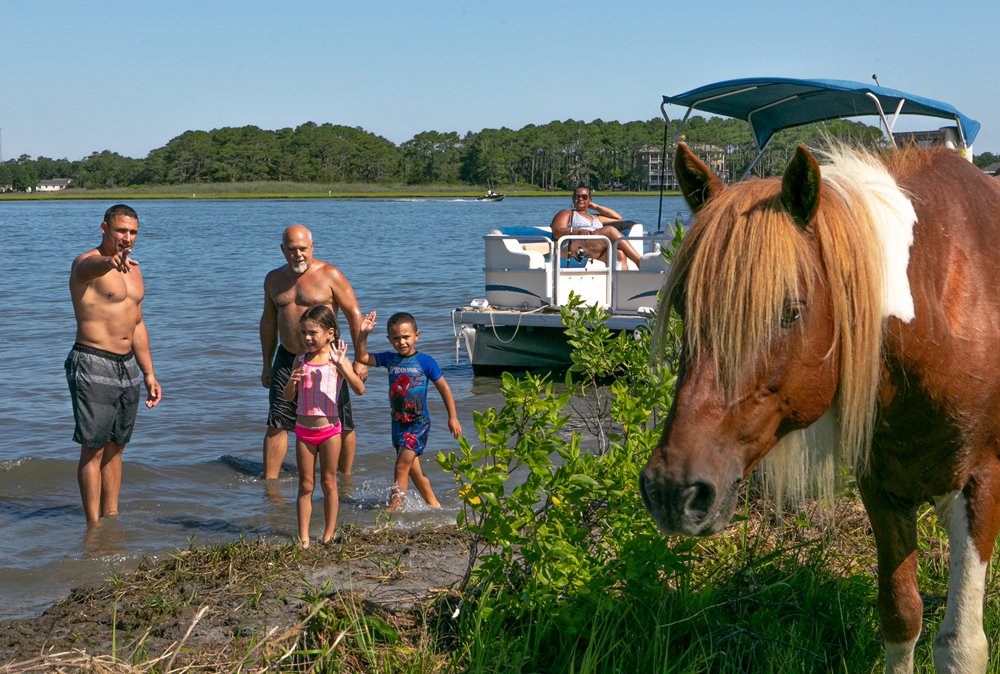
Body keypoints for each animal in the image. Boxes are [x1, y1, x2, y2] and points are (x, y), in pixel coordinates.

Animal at [640, 142, 1000, 673]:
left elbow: (961, 646)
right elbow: (901, 618)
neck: (948, 298)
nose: (671, 489)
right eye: (685, 307)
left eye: (791, 311)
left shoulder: (979, 484)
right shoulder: (884, 487)